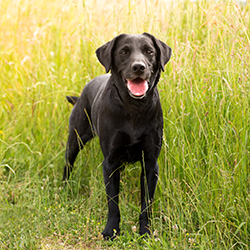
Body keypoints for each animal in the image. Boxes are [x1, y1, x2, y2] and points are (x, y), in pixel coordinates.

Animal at [63, 32, 171, 238]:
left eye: (149, 51)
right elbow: (113, 202)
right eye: (123, 52)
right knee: (68, 163)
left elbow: (146, 204)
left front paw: (145, 231)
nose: (138, 67)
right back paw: (64, 188)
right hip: (76, 139)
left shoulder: (150, 163)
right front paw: (111, 230)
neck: (134, 108)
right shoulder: (110, 162)